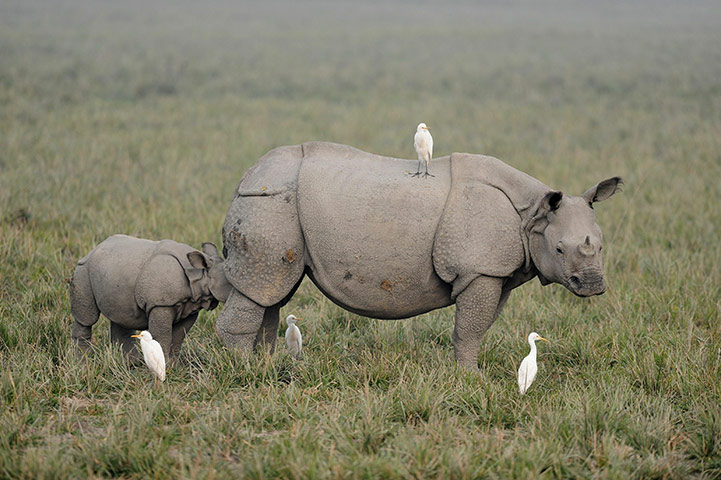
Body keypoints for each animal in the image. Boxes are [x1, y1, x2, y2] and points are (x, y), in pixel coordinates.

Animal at [70, 235, 231, 358]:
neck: (200, 274)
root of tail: (93, 250)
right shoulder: (160, 304)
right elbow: (162, 337)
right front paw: (164, 366)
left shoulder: (191, 305)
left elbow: (178, 337)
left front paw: (173, 366)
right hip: (83, 270)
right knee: (87, 318)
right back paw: (83, 362)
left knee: (122, 315)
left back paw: (131, 365)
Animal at [218, 142, 623, 370]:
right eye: (559, 249)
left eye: (602, 246)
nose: (592, 285)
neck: (532, 214)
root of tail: (246, 176)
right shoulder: (480, 270)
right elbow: (469, 328)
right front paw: (470, 377)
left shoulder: (495, 273)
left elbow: (479, 326)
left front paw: (468, 371)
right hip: (270, 203)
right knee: (264, 284)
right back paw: (246, 371)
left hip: (276, 205)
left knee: (271, 290)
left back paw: (267, 365)